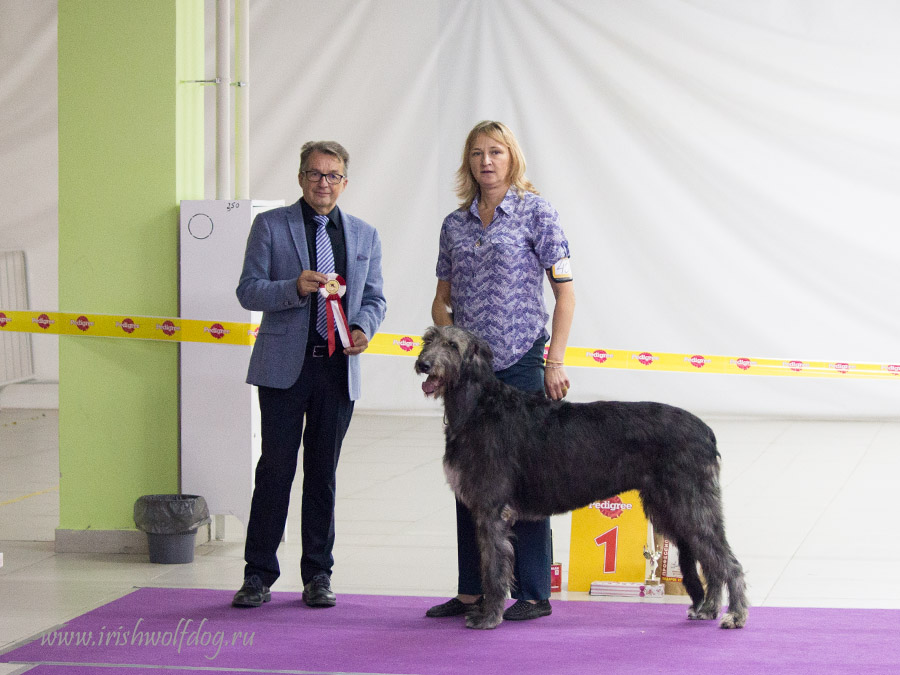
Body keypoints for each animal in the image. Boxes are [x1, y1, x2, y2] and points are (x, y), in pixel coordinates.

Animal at [414, 324, 744, 632]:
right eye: (428, 339)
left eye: (452, 345)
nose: (423, 364)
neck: (479, 405)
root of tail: (706, 431)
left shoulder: (492, 511)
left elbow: (494, 568)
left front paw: (488, 617)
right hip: (668, 509)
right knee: (711, 560)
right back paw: (709, 609)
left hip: (689, 503)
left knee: (727, 560)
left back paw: (735, 615)